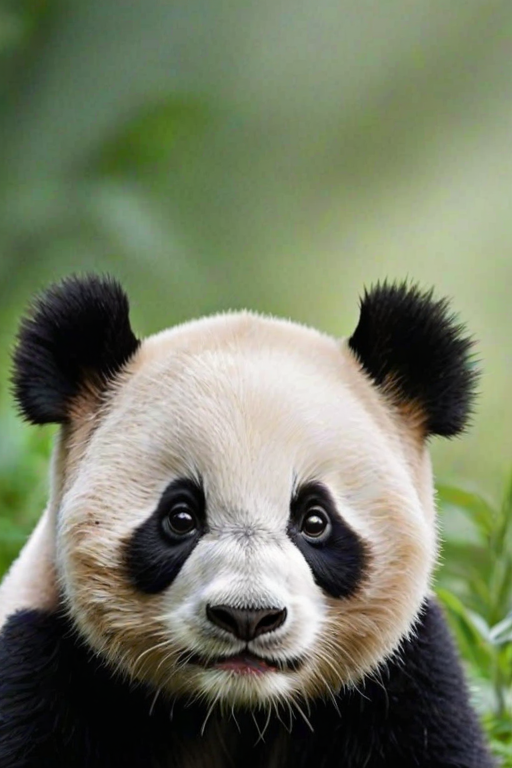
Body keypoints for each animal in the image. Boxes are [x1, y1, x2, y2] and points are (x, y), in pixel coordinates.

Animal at [0, 274, 494, 768]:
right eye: (181, 517)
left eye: (315, 521)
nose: (247, 616)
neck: (236, 710)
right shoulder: (39, 659)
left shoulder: (406, 680)